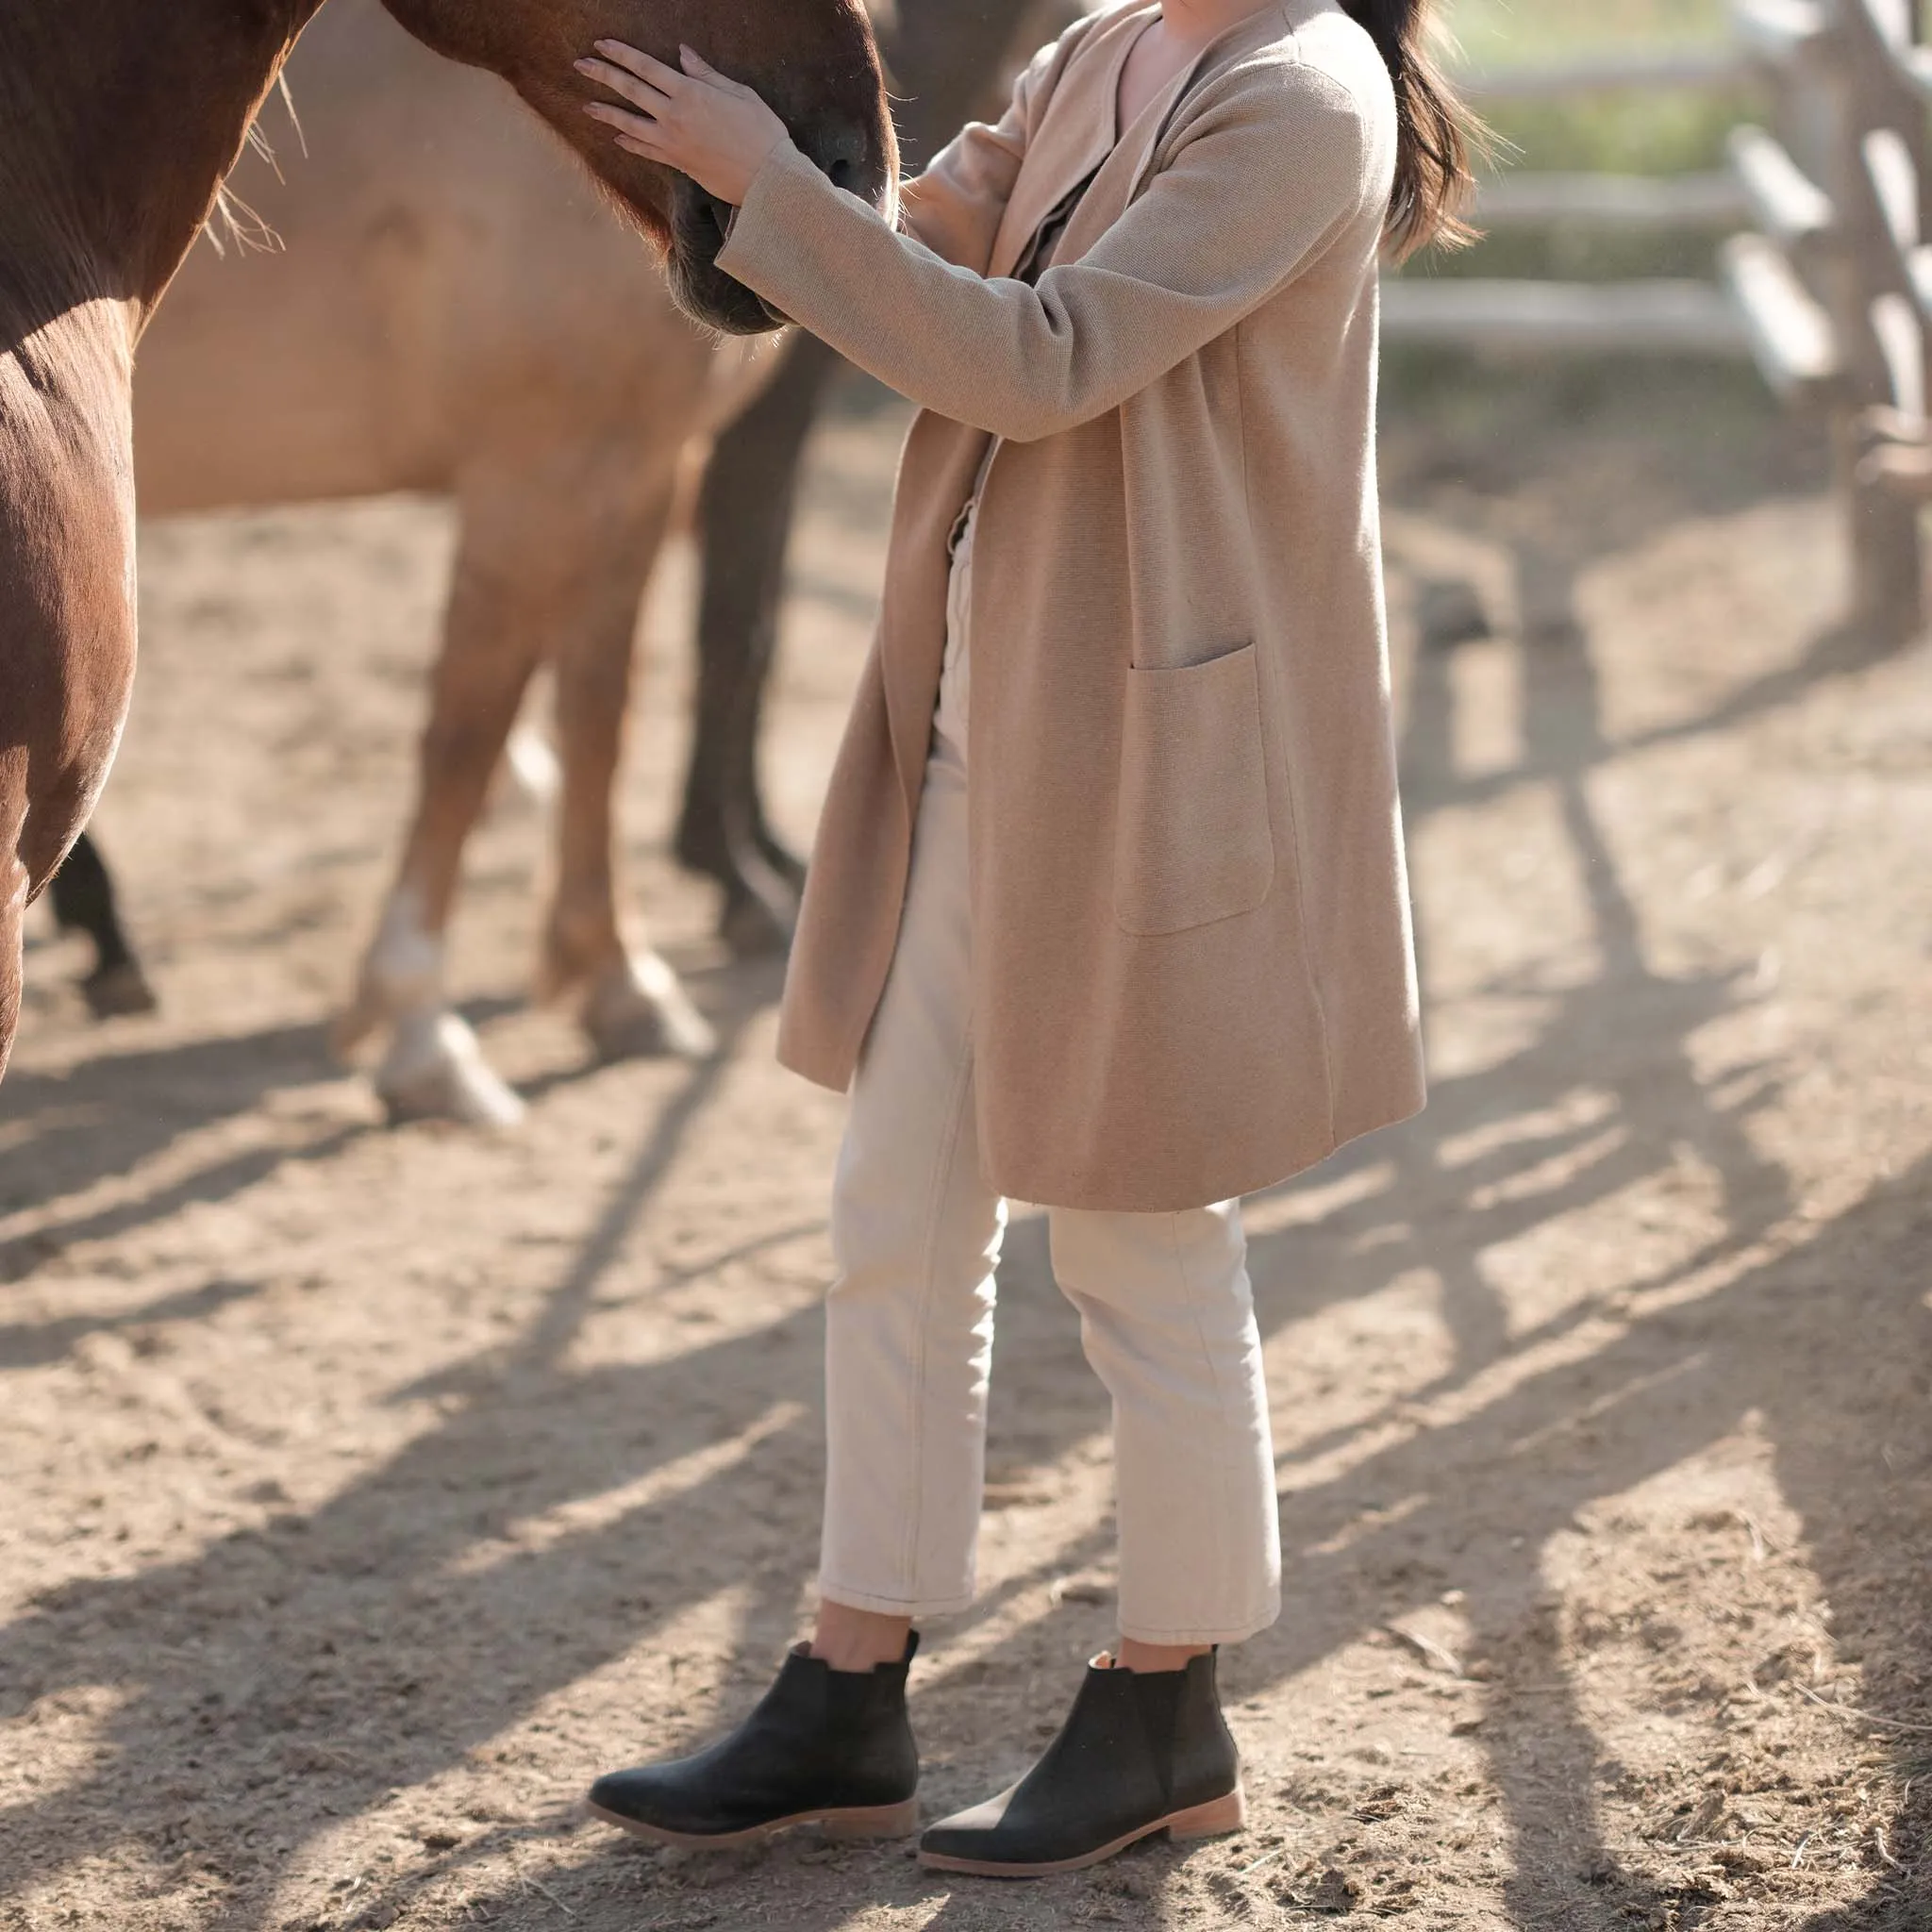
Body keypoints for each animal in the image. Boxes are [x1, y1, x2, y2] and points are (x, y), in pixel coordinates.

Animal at [0, 0, 889, 1090]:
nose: (848, 171)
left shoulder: (637, 462)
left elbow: (600, 714)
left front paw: (618, 979)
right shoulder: (537, 469)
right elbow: (472, 727)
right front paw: (421, 1021)